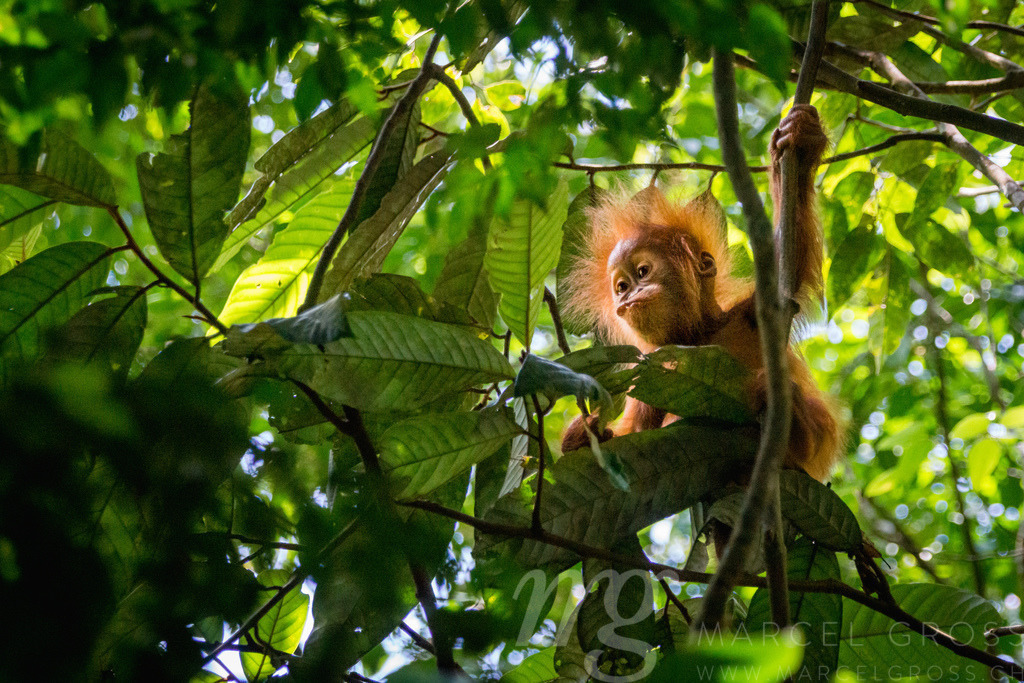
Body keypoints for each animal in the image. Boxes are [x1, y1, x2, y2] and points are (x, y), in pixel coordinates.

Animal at [560, 104, 843, 483]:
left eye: (642, 272)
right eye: (621, 286)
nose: (628, 297)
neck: (699, 334)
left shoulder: (755, 309)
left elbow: (791, 261)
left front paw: (801, 138)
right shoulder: (651, 368)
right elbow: (635, 432)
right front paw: (584, 433)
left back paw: (789, 418)